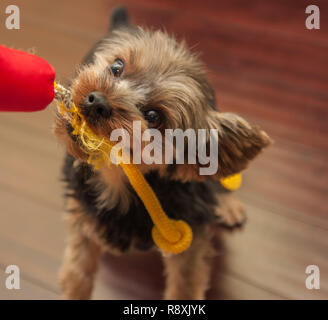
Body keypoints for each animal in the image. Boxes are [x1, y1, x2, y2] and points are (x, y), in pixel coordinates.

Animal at [53, 8, 270, 300]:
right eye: (117, 67)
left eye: (154, 116)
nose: (96, 100)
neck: (119, 182)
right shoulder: (83, 217)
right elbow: (78, 270)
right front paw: (74, 287)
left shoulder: (190, 239)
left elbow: (184, 286)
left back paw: (228, 205)